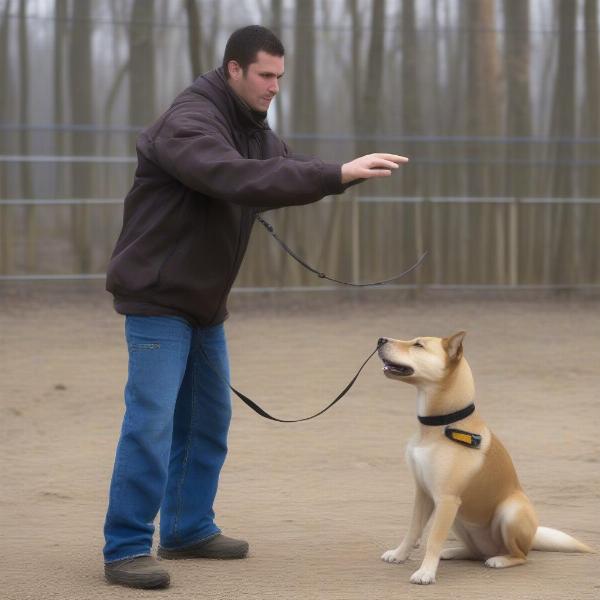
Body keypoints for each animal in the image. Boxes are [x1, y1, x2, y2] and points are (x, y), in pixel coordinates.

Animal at [378, 330, 592, 584]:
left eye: (418, 345)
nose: (380, 340)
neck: (441, 424)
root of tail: (533, 537)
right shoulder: (423, 493)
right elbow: (413, 530)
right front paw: (399, 554)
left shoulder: (447, 499)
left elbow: (433, 539)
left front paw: (426, 572)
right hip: (459, 519)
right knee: (476, 552)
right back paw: (454, 552)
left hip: (509, 512)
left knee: (520, 555)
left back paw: (500, 560)